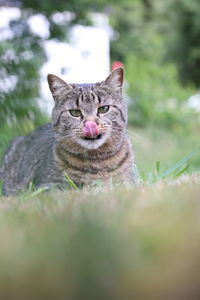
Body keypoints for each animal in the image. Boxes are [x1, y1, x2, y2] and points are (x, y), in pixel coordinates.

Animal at [0, 67, 137, 196]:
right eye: (75, 112)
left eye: (104, 109)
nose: (90, 124)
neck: (97, 161)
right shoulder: (48, 186)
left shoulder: (130, 182)